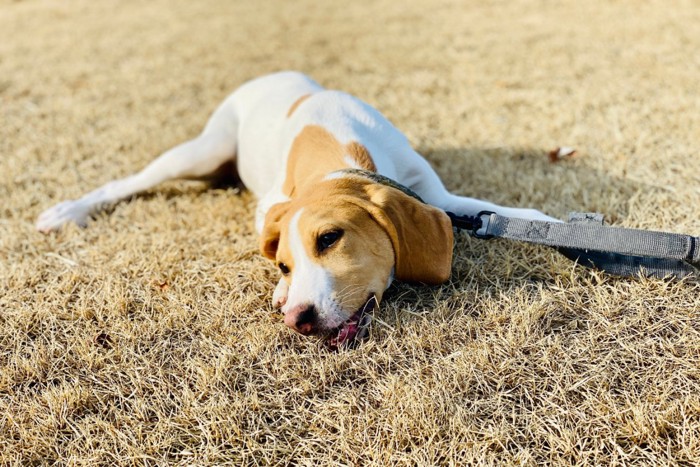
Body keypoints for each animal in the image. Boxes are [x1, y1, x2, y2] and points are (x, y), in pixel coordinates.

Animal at [37, 70, 556, 348]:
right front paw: (282, 291)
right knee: (127, 183)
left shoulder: (437, 196)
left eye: (330, 238)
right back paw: (67, 212)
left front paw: (550, 223)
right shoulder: (270, 206)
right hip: (201, 152)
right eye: (284, 264)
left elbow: (492, 209)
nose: (298, 319)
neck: (339, 150)